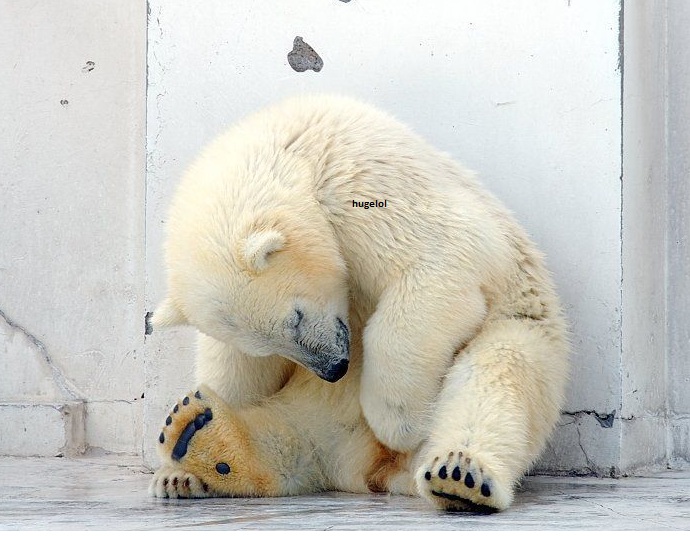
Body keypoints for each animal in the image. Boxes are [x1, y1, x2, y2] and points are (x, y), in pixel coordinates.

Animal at [148, 94, 568, 512]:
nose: (335, 369)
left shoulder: (363, 187)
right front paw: (174, 475)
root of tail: (367, 470)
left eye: (295, 317)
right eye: (269, 345)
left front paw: (402, 422)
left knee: (496, 375)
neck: (294, 154)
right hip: (309, 409)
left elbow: (436, 261)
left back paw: (458, 474)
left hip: (522, 322)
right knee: (285, 436)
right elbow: (233, 371)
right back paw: (198, 434)